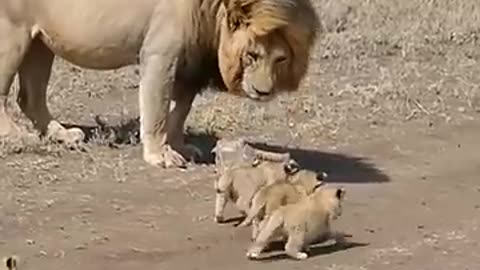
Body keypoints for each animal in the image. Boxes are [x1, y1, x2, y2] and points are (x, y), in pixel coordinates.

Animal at [2, 0, 322, 168]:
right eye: (251, 55)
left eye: (280, 58)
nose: (263, 91)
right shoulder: (160, 54)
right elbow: (156, 110)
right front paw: (160, 155)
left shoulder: (189, 64)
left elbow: (179, 111)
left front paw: (180, 146)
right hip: (12, 34)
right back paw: (18, 137)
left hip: (41, 43)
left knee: (30, 97)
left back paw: (63, 135)